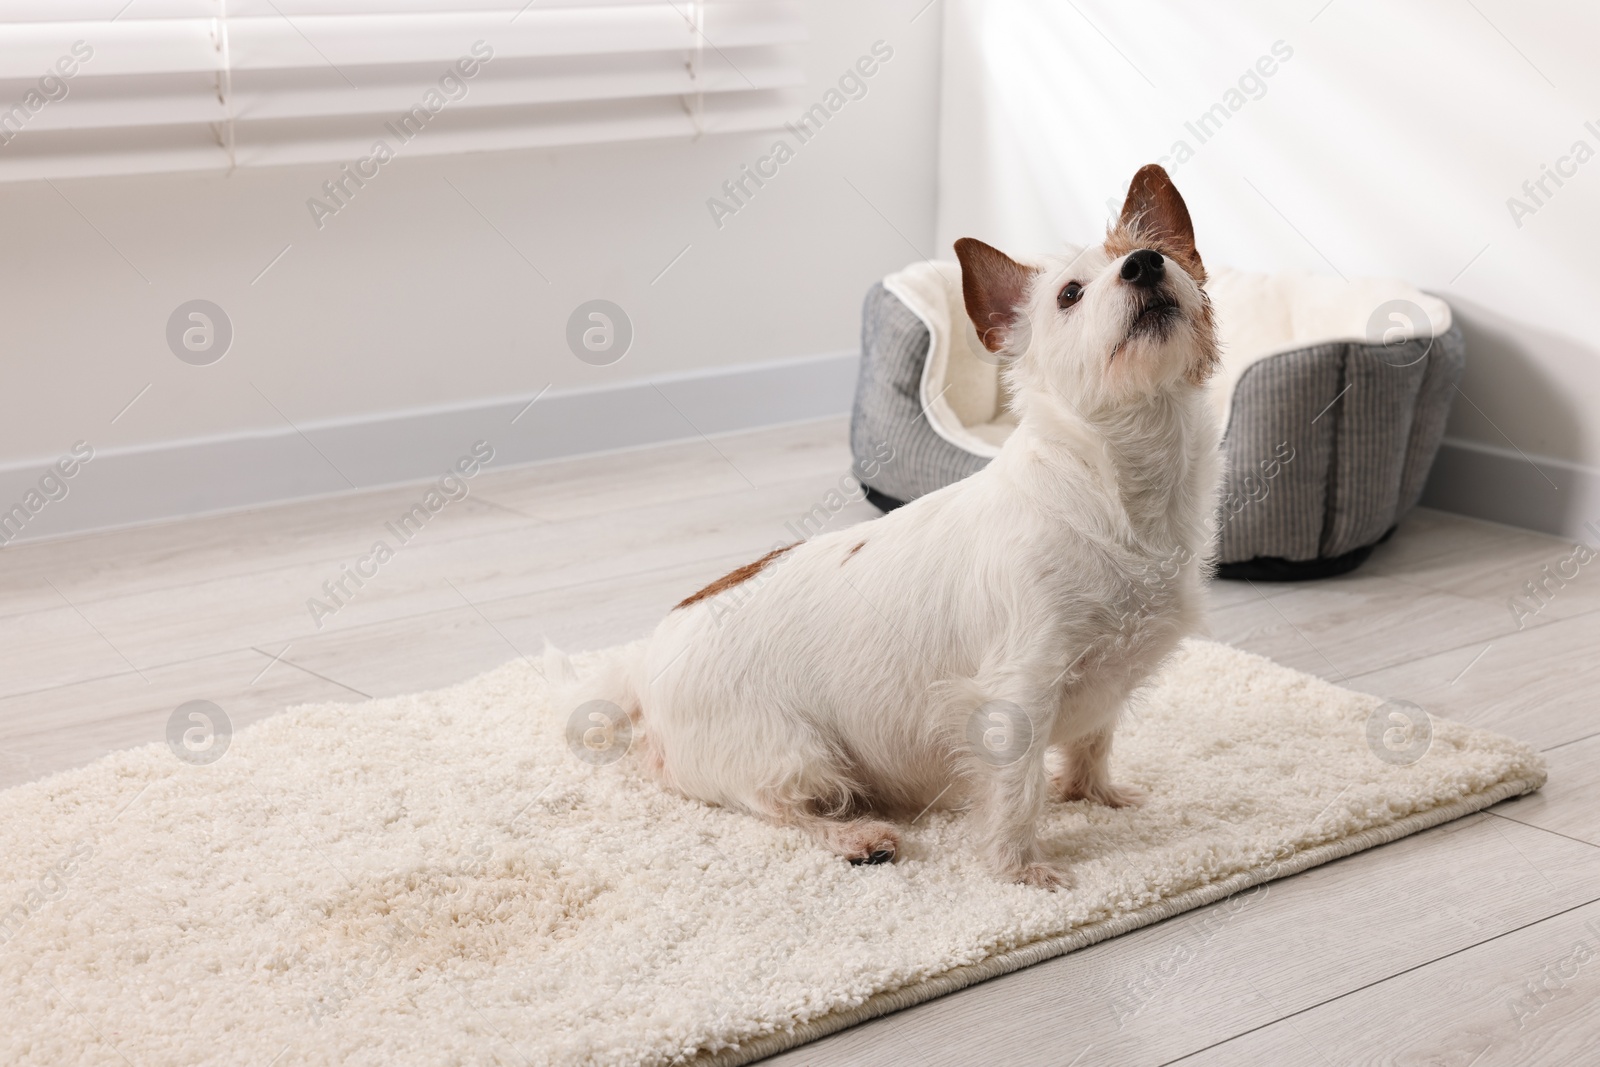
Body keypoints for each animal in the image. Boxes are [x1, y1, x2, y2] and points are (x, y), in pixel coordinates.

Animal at [582, 164, 1216, 883]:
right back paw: (856, 837)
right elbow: (1017, 792)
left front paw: (1097, 796)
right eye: (1070, 294)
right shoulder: (1018, 691)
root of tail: (643, 663)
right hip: (798, 754)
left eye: (1160, 253)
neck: (1114, 486)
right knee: (778, 809)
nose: (1145, 264)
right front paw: (1021, 870)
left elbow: (1093, 743)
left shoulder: (1105, 686)